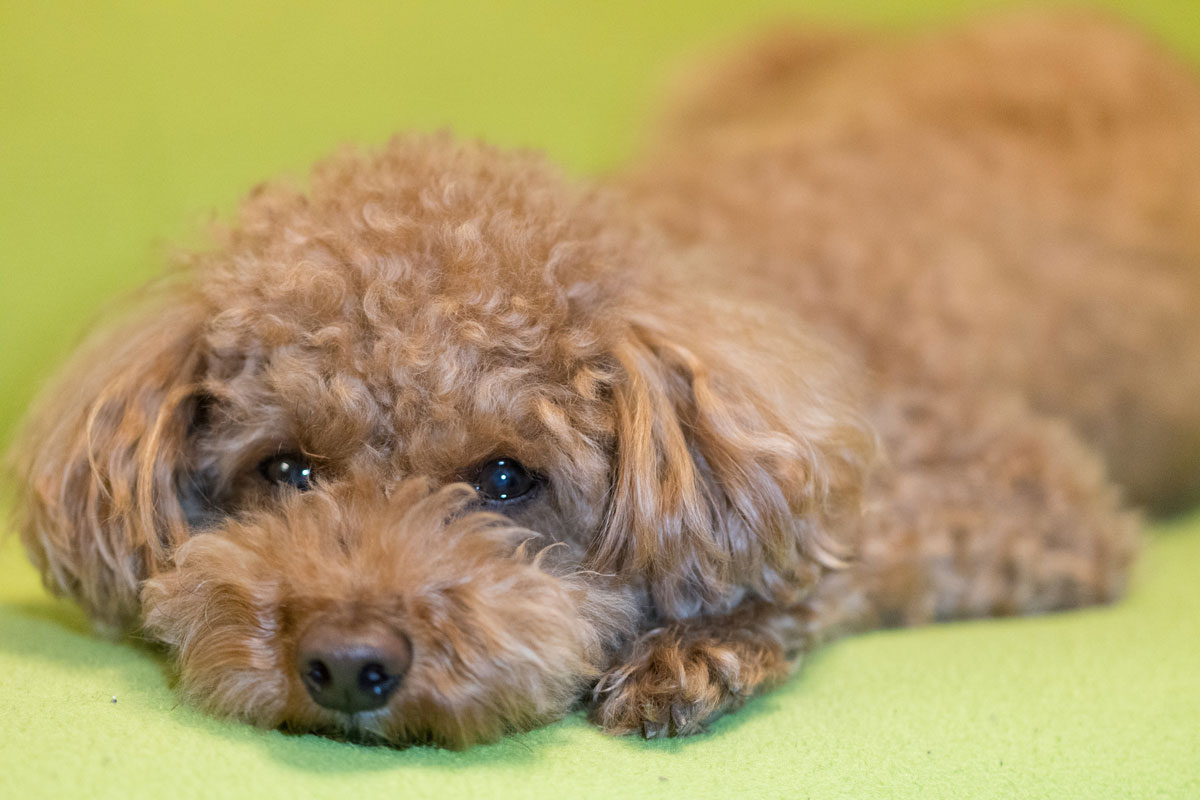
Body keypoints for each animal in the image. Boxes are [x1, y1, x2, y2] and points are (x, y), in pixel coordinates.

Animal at [9, 14, 1200, 753]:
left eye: (505, 479)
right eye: (287, 468)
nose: (346, 663)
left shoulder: (1032, 500)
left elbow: (847, 561)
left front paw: (700, 648)